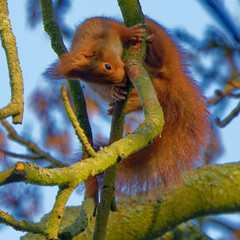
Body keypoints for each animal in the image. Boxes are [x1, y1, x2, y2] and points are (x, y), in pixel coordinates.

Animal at [48, 16, 210, 193]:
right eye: (97, 81)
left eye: (107, 66)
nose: (122, 79)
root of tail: (172, 80)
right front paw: (115, 90)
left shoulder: (102, 24)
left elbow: (119, 28)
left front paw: (131, 33)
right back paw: (130, 102)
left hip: (167, 52)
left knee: (162, 62)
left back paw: (153, 46)